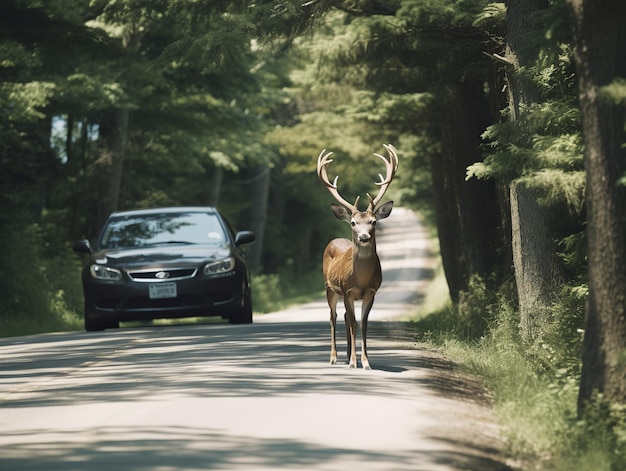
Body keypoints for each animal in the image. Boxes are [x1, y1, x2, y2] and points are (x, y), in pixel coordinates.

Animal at [314, 144, 398, 368]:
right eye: (353, 223)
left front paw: (366, 362)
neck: (360, 279)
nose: (364, 236)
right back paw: (334, 357)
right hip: (330, 288)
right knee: (333, 316)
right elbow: (353, 323)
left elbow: (363, 324)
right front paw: (353, 362)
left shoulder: (371, 293)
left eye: (373, 221)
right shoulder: (347, 290)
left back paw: (345, 354)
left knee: (343, 316)